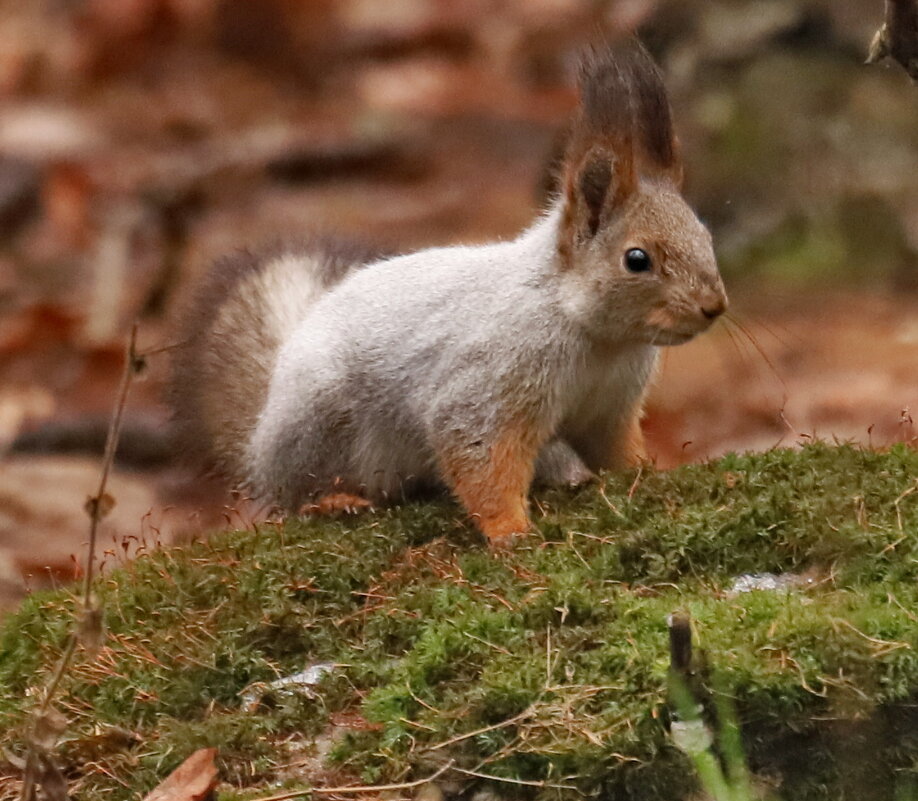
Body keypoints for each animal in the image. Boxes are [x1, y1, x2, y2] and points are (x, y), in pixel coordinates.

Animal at [169, 42, 728, 544]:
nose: (714, 307)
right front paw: (510, 531)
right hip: (315, 424)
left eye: (705, 235)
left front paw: (647, 475)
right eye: (637, 259)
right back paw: (333, 500)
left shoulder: (608, 409)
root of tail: (259, 433)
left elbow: (616, 452)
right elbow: (478, 455)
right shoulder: (484, 385)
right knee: (291, 491)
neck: (599, 340)